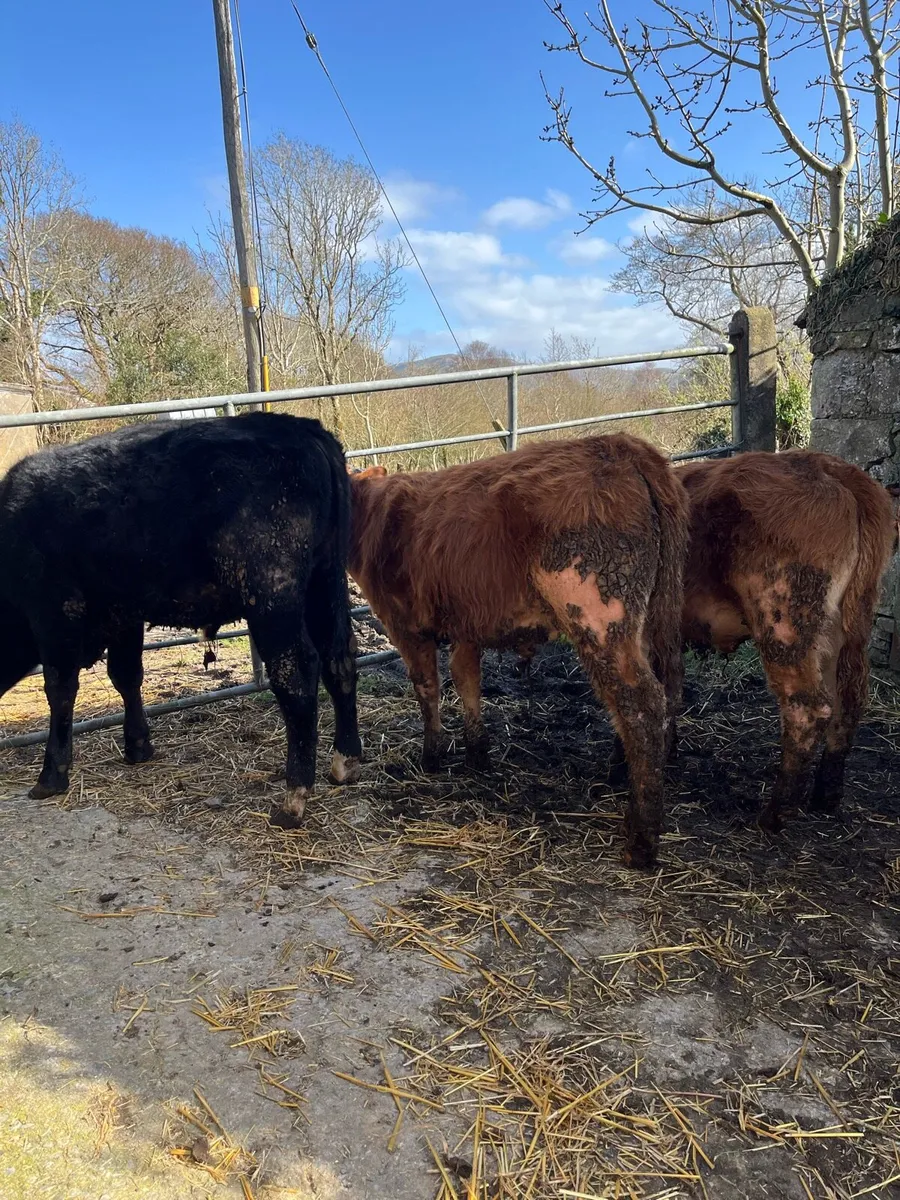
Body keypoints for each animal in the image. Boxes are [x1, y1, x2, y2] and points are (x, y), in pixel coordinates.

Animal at [0, 412, 362, 821]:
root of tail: (302, 427)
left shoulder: (53, 611)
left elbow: (60, 690)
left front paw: (51, 775)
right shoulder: (124, 614)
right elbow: (126, 675)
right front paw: (138, 747)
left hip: (273, 594)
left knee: (296, 673)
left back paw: (293, 797)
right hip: (326, 578)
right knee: (339, 656)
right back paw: (345, 762)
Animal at [348, 435, 689, 868]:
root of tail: (620, 445)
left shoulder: (405, 626)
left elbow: (427, 688)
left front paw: (432, 757)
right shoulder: (467, 623)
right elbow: (466, 679)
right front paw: (477, 754)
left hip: (599, 616)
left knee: (641, 704)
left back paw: (640, 842)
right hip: (649, 618)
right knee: (663, 692)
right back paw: (621, 774)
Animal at [607, 450, 898, 834]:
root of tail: (829, 467)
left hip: (784, 625)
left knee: (808, 708)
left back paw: (775, 814)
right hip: (844, 633)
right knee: (848, 701)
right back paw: (825, 798)